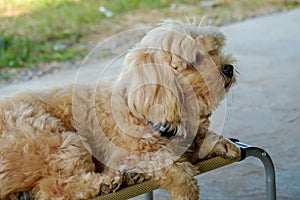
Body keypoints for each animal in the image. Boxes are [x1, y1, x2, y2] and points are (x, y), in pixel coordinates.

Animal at [0, 19, 239, 200]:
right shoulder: (122, 155)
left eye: (215, 50)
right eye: (197, 58)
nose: (229, 68)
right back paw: (104, 184)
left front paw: (221, 143)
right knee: (57, 189)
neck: (143, 114)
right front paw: (185, 187)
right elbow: (166, 162)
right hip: (58, 140)